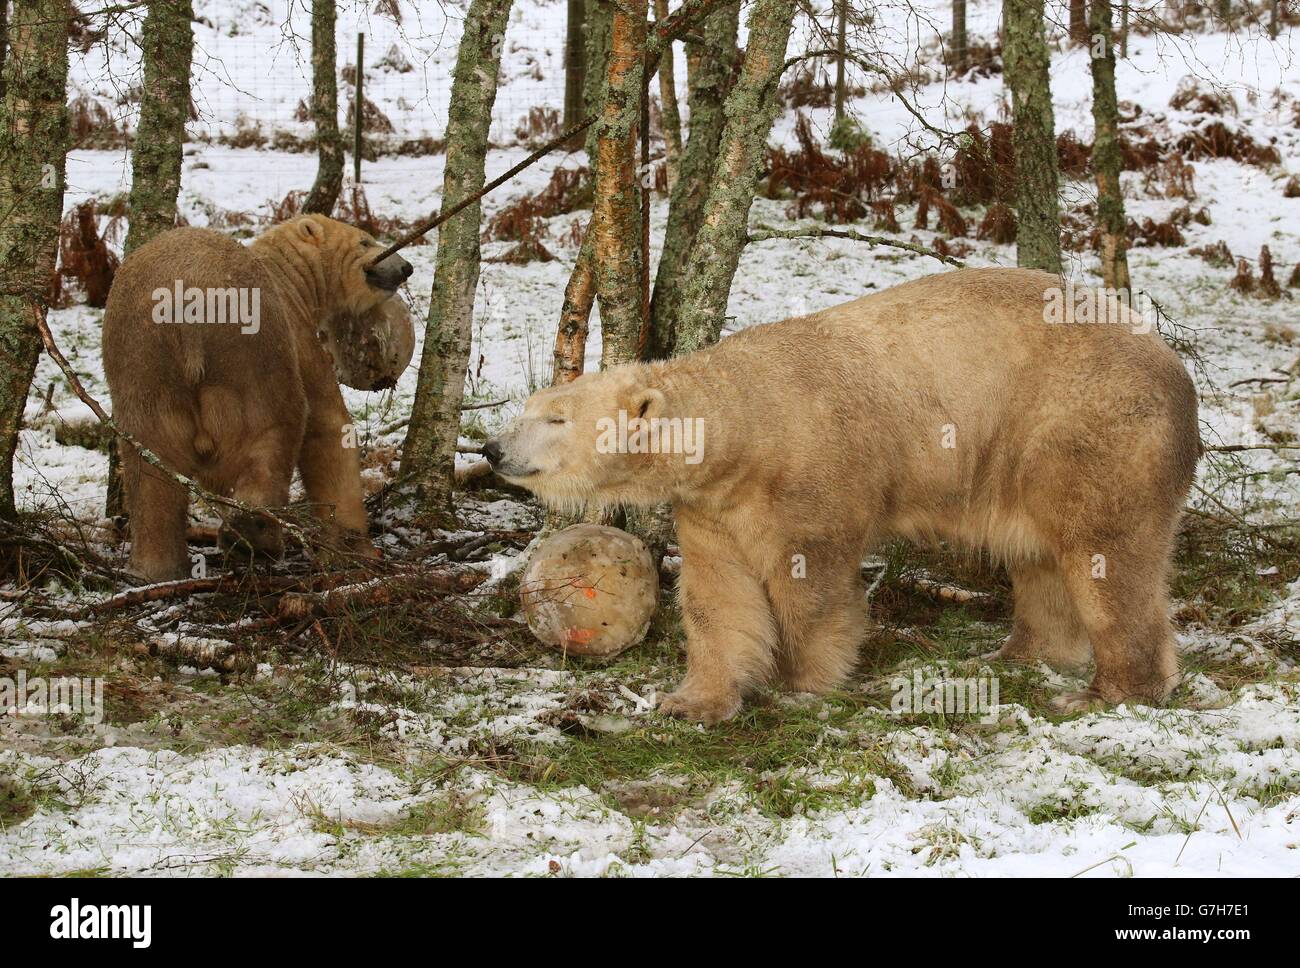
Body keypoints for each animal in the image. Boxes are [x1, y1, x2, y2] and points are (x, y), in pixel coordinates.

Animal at [103, 215, 413, 576]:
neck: (288, 274)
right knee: (274, 427)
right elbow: (328, 425)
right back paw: (254, 536)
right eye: (365, 240)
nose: (405, 267)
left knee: (150, 463)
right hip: (253, 352)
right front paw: (353, 547)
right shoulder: (297, 334)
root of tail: (185, 310)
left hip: (143, 364)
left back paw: (156, 567)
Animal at [483, 267, 1201, 722]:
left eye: (555, 418)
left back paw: (1109, 691)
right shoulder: (713, 506)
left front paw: (802, 681)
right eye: (528, 407)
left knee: (1105, 555)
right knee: (1039, 557)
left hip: (1087, 431)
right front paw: (692, 701)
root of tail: (1177, 370)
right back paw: (1018, 651)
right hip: (1026, 458)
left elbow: (812, 582)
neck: (747, 422)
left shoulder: (807, 474)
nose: (492, 448)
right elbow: (719, 595)